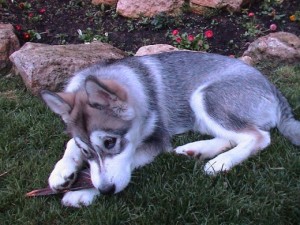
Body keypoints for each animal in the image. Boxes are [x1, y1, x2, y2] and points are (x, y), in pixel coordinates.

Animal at [41, 51, 298, 207]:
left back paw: (220, 162)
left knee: (258, 136)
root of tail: (272, 87)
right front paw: (61, 172)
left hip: (205, 96)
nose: (105, 191)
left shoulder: (157, 140)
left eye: (110, 142)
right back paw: (196, 150)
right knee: (233, 136)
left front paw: (83, 192)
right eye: (86, 152)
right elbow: (71, 143)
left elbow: (127, 165)